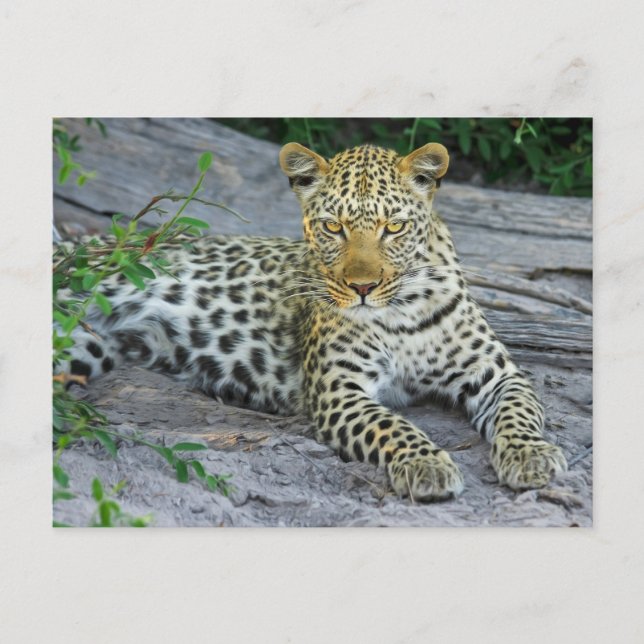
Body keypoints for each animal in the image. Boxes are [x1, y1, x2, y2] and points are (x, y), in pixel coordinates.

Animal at [60, 141, 568, 502]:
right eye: (333, 227)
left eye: (394, 228)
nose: (362, 287)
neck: (402, 310)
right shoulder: (339, 390)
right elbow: (393, 426)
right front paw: (426, 465)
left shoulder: (497, 374)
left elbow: (519, 413)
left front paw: (532, 456)